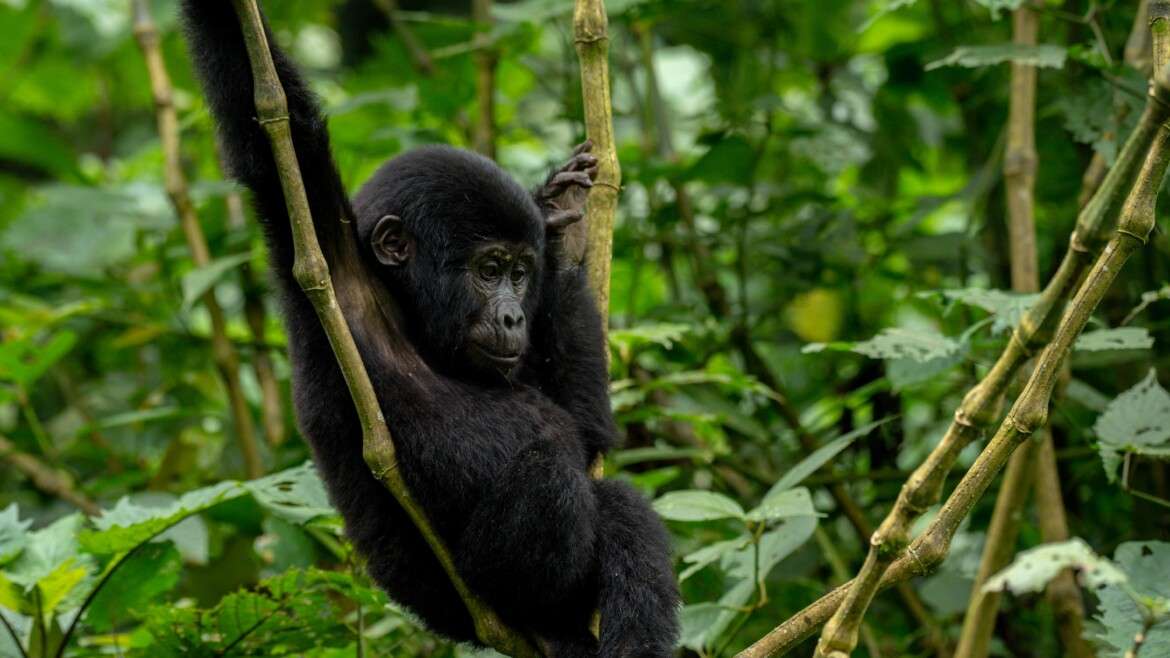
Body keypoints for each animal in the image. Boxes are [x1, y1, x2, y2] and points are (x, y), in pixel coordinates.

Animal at [177, 2, 683, 650]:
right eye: (489, 270)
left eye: (521, 273)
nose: (515, 314)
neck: (412, 323)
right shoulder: (330, 276)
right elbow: (272, 125)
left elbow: (588, 430)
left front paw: (562, 231)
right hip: (475, 595)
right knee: (555, 478)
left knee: (615, 503)